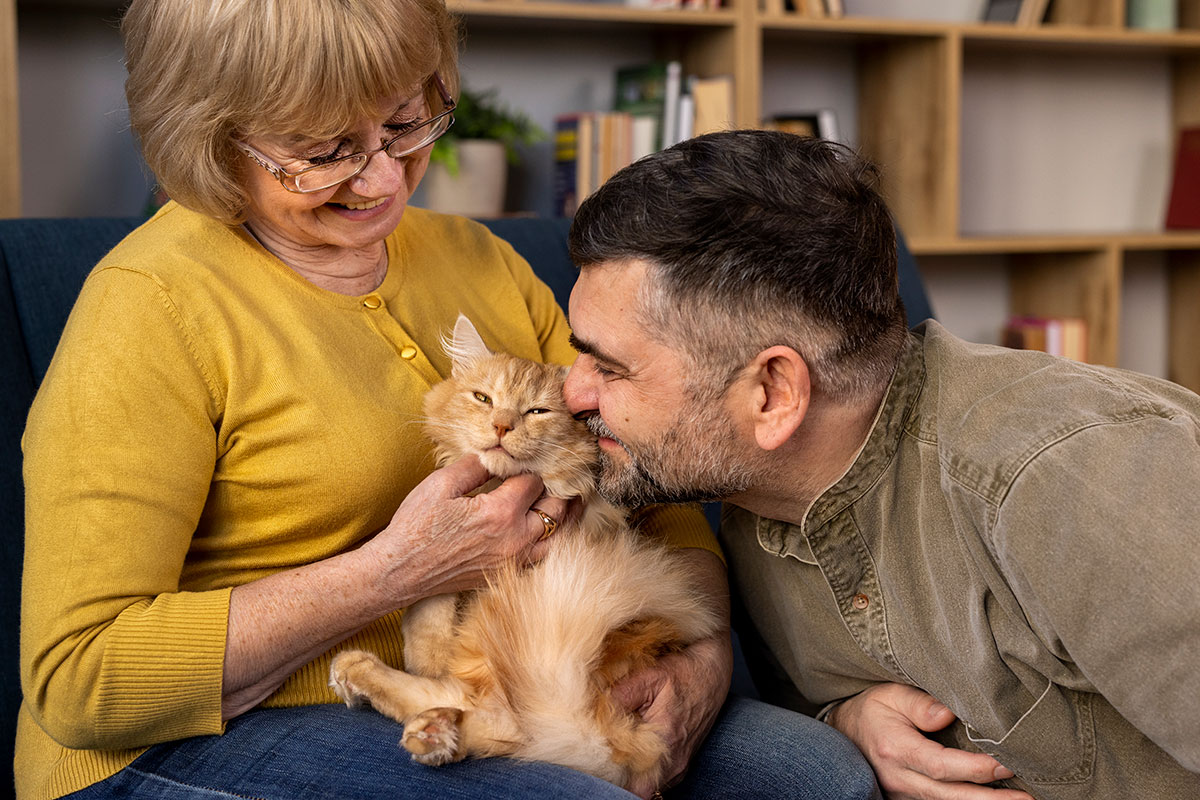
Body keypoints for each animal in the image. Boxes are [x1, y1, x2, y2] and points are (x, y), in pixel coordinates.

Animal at [328, 311, 715, 786]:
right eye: (483, 398)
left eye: (536, 412)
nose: (501, 427)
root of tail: (607, 739)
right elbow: (428, 597)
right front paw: (427, 652)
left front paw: (426, 656)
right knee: (484, 714)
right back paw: (413, 715)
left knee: (499, 720)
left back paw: (415, 716)